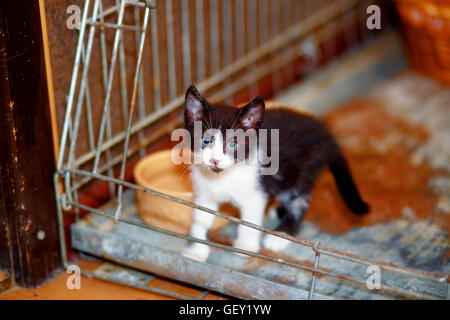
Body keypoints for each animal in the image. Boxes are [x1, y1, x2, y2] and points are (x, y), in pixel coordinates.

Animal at [181, 85, 368, 262]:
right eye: (205, 141)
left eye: (233, 144)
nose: (215, 160)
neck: (222, 177)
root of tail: (325, 134)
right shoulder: (204, 194)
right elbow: (200, 219)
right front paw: (197, 250)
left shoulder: (255, 192)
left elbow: (250, 221)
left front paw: (245, 246)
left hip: (300, 172)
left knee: (298, 202)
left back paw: (281, 235)